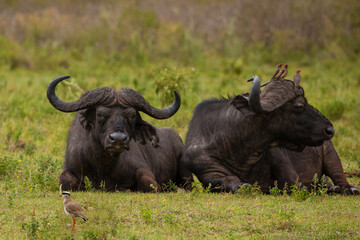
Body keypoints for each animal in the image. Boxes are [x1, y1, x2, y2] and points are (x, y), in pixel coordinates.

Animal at [48, 76, 194, 192]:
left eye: (132, 115)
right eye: (100, 114)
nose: (118, 139)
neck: (102, 164)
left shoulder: (144, 170)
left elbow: (150, 185)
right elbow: (65, 181)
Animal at [181, 76, 358, 194]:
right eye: (299, 106)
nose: (330, 129)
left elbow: (294, 184)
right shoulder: (208, 172)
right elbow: (229, 181)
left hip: (331, 154)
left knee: (339, 177)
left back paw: (346, 189)